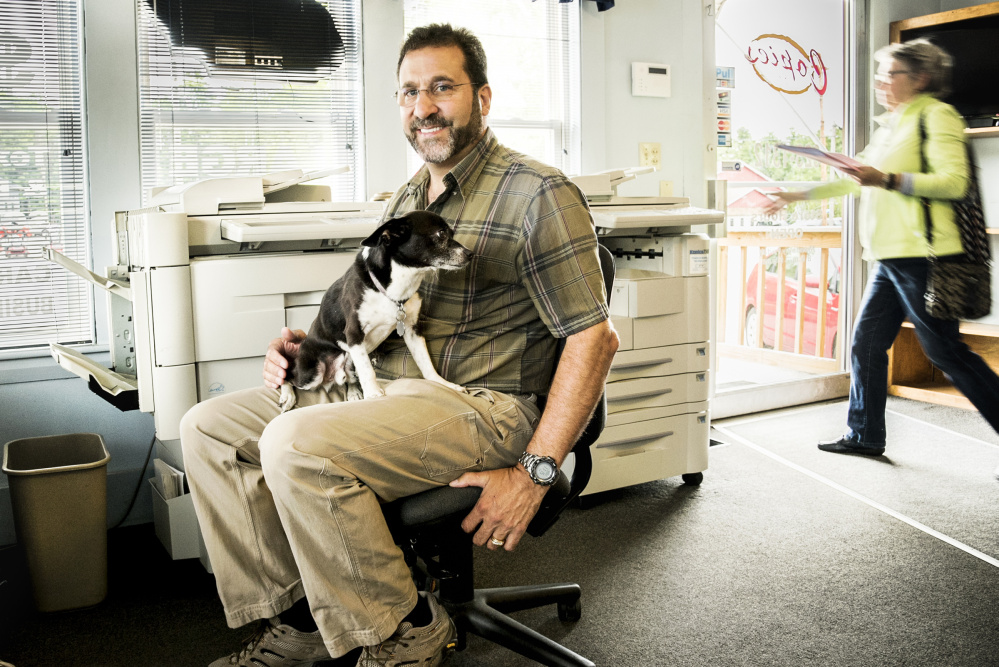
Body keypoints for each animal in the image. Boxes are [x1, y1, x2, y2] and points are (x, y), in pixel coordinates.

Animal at [278, 211, 472, 412]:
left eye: (452, 233)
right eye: (441, 234)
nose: (471, 254)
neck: (397, 289)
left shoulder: (413, 331)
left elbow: (426, 363)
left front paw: (444, 385)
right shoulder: (354, 333)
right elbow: (367, 369)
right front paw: (373, 393)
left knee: (349, 377)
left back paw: (353, 392)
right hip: (310, 374)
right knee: (288, 375)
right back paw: (287, 395)